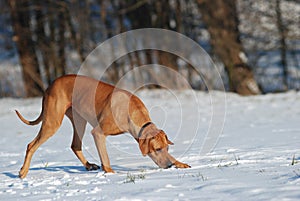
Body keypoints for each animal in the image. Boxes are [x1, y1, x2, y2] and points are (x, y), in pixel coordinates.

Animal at [15, 74, 190, 178]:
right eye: (157, 149)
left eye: (167, 148)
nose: (168, 166)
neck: (133, 111)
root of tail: (51, 84)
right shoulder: (98, 133)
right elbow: (105, 157)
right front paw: (111, 173)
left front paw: (179, 163)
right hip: (52, 121)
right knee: (31, 145)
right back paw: (23, 171)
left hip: (79, 120)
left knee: (75, 145)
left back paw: (88, 165)